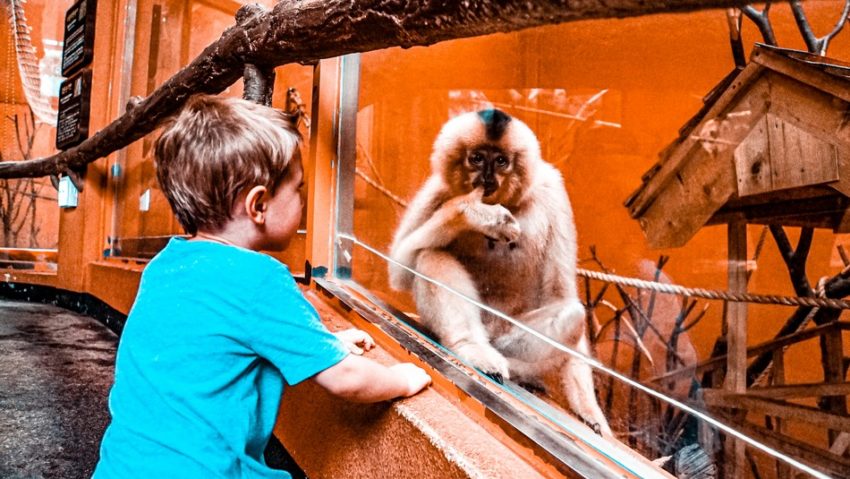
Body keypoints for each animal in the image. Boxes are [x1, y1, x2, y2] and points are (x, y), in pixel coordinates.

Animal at [388, 109, 608, 436]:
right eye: (477, 158)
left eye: (501, 161)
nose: (488, 177)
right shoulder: (438, 190)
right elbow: (399, 268)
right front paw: (475, 215)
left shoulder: (553, 191)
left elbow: (559, 294)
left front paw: (589, 409)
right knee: (429, 255)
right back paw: (473, 349)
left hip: (505, 337)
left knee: (571, 315)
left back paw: (518, 372)